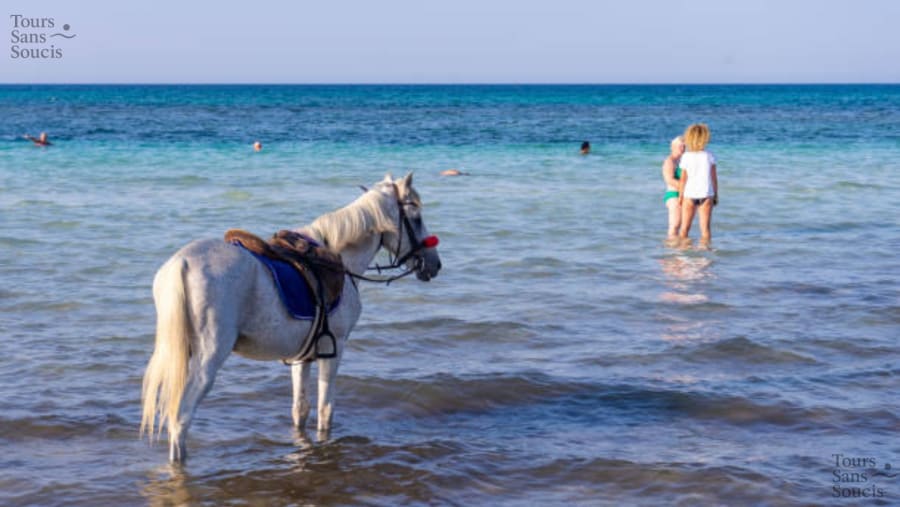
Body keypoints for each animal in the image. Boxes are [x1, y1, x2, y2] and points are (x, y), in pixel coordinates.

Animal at [141, 173, 441, 462]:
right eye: (416, 218)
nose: (434, 265)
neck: (339, 260)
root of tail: (182, 263)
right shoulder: (335, 349)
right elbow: (325, 410)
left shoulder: (302, 356)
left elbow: (300, 409)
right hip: (208, 361)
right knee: (180, 420)